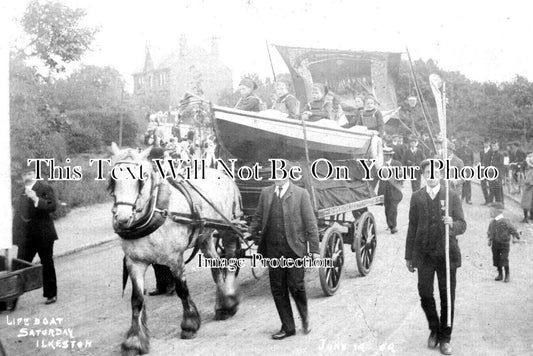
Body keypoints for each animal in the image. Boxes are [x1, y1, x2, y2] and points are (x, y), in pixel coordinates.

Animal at [109, 143, 242, 354]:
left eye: (141, 179)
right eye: (113, 178)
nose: (122, 219)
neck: (157, 211)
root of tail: (220, 172)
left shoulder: (175, 259)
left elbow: (182, 290)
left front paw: (189, 325)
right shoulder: (134, 262)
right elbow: (137, 300)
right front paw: (134, 341)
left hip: (228, 228)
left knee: (229, 261)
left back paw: (228, 298)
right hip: (204, 236)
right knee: (216, 264)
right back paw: (223, 304)